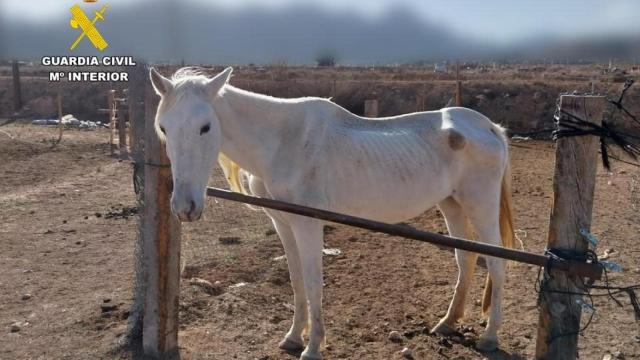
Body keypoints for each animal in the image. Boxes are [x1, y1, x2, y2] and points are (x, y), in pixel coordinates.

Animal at [150, 67, 516, 358]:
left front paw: (312, 347)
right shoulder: (283, 224)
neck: (283, 142)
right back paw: (447, 323)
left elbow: (313, 284)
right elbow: (297, 281)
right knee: (465, 258)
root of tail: (489, 127)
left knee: (496, 263)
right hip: (451, 204)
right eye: (164, 128)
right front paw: (293, 337)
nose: (184, 207)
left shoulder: (308, 225)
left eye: (205, 127)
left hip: (480, 205)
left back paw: (490, 337)